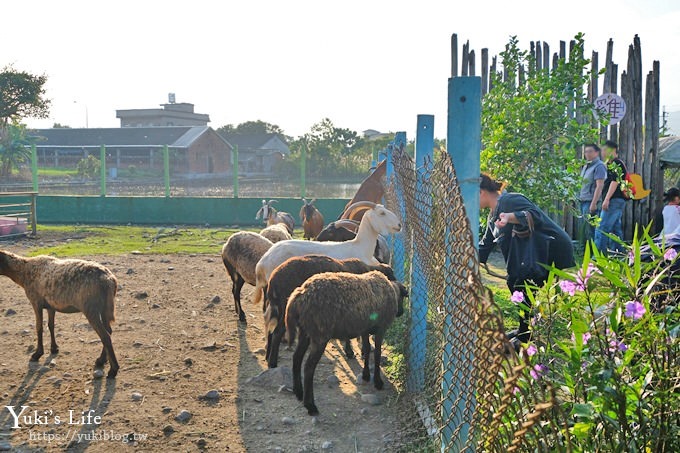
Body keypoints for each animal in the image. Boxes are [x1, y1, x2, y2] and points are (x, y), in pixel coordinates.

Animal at [284, 270, 406, 414]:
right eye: (403, 297)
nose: (401, 312)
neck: (391, 291)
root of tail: (300, 294)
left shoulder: (364, 330)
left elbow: (366, 351)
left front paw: (366, 375)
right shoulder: (381, 329)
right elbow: (377, 354)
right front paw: (378, 382)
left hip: (305, 332)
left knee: (296, 358)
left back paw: (298, 392)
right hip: (320, 335)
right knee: (309, 367)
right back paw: (310, 406)